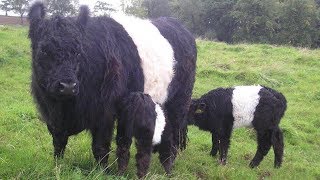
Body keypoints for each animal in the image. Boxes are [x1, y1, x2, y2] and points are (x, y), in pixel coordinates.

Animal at [28, 1, 198, 174]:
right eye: (43, 51)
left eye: (78, 52)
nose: (68, 86)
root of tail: (178, 25)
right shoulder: (52, 114)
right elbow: (58, 143)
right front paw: (57, 167)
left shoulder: (105, 112)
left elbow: (100, 146)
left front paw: (101, 171)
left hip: (180, 100)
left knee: (175, 132)